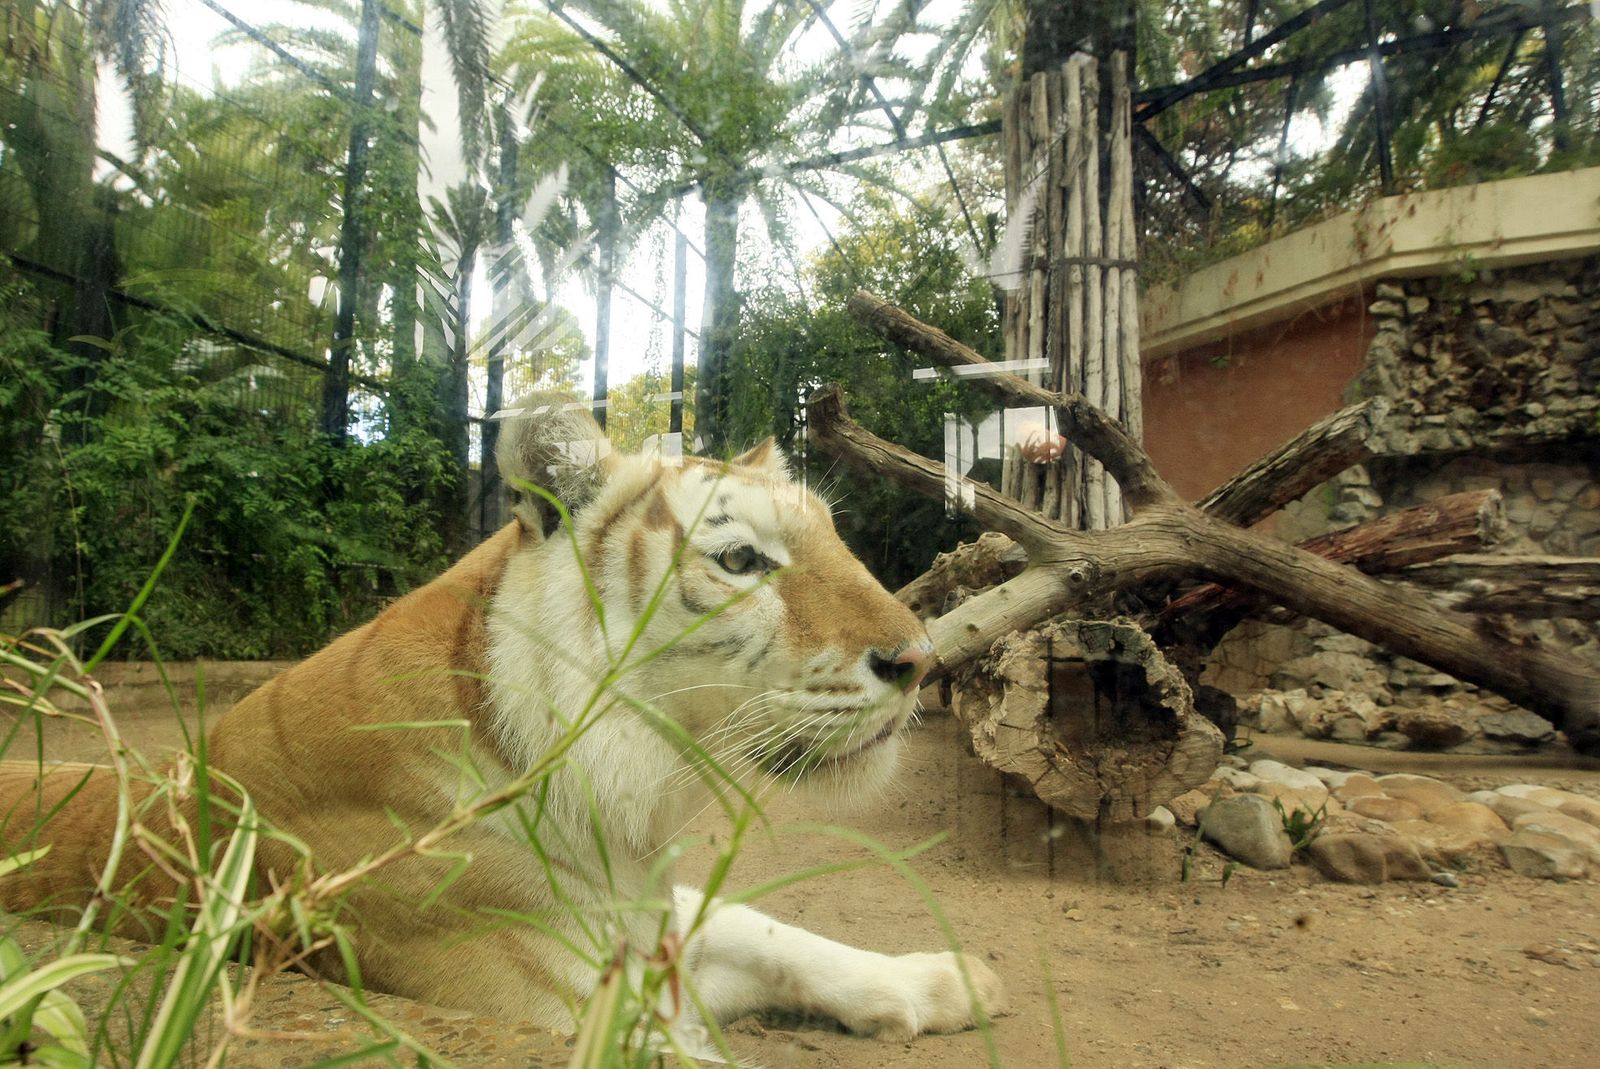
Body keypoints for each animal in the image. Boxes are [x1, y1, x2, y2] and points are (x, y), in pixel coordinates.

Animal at [0, 395, 1005, 1049]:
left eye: (833, 538)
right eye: (740, 560)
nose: (921, 659)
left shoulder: (651, 919)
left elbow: (763, 925)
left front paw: (945, 977)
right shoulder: (568, 999)